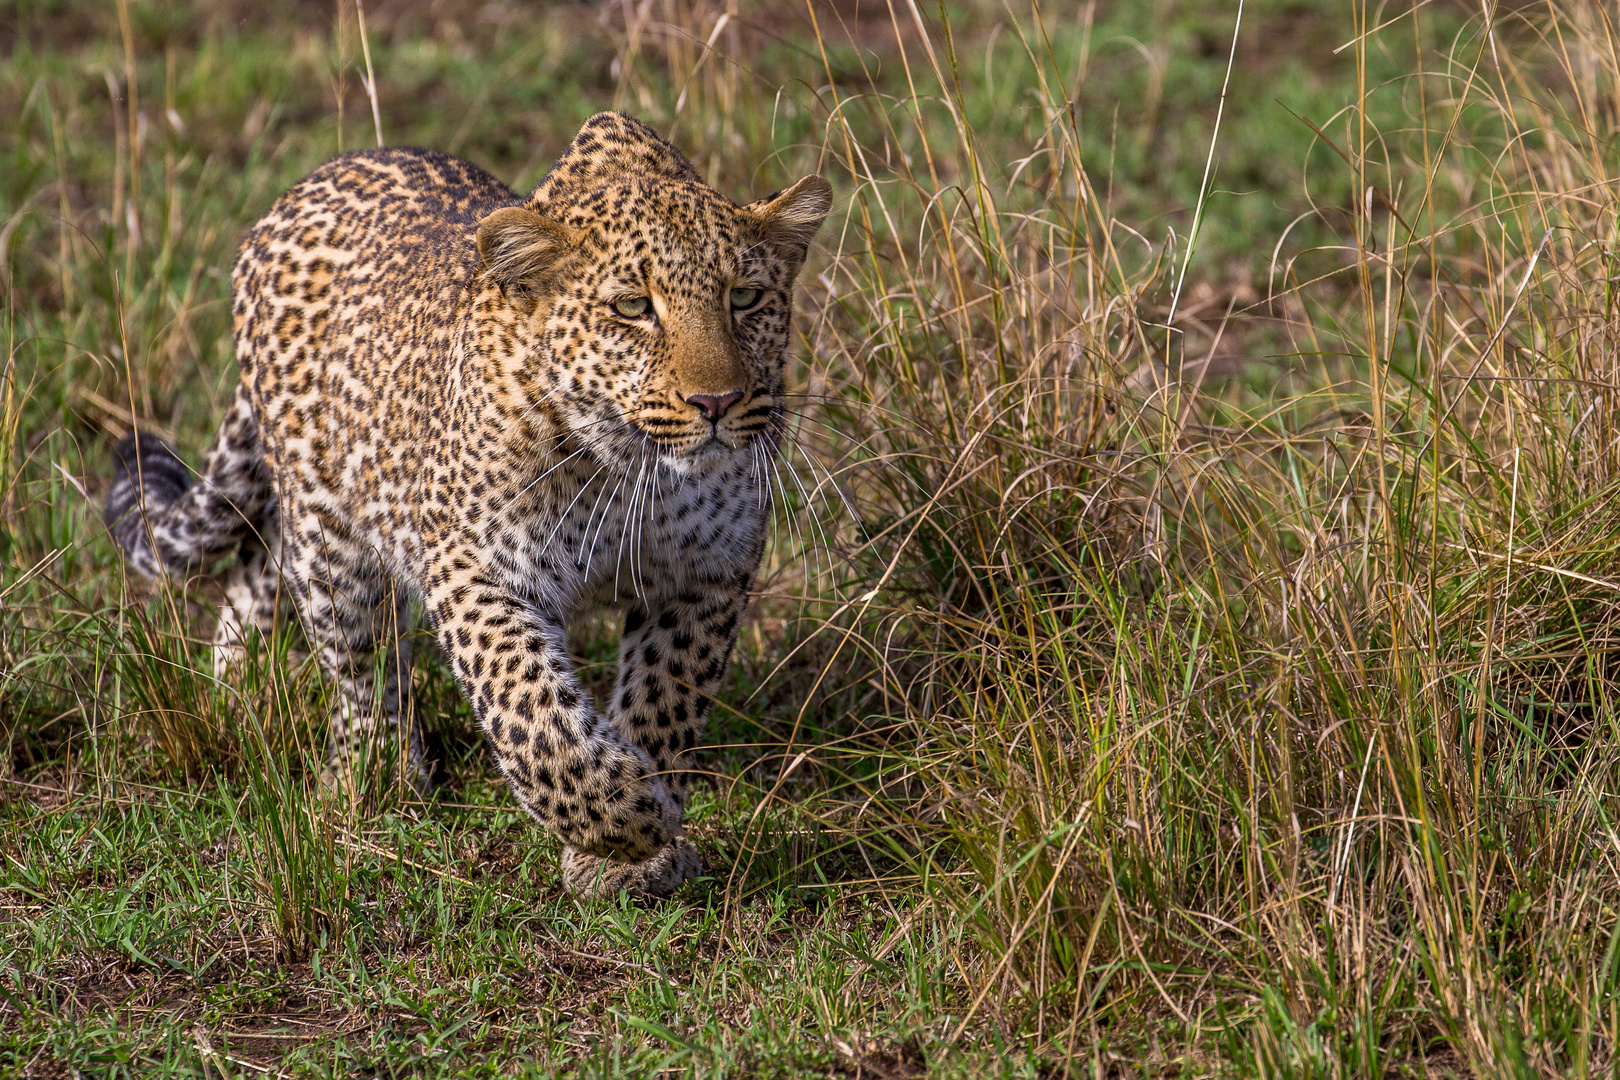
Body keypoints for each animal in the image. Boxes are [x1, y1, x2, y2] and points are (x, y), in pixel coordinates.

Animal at [107, 114, 829, 900]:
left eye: (745, 299)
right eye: (634, 308)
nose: (717, 402)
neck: (632, 470)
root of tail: (294, 194)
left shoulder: (706, 572)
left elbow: (666, 698)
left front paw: (635, 849)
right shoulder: (476, 569)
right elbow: (535, 717)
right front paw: (630, 815)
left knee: (254, 576)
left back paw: (235, 698)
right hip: (331, 538)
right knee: (358, 667)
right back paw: (376, 779)